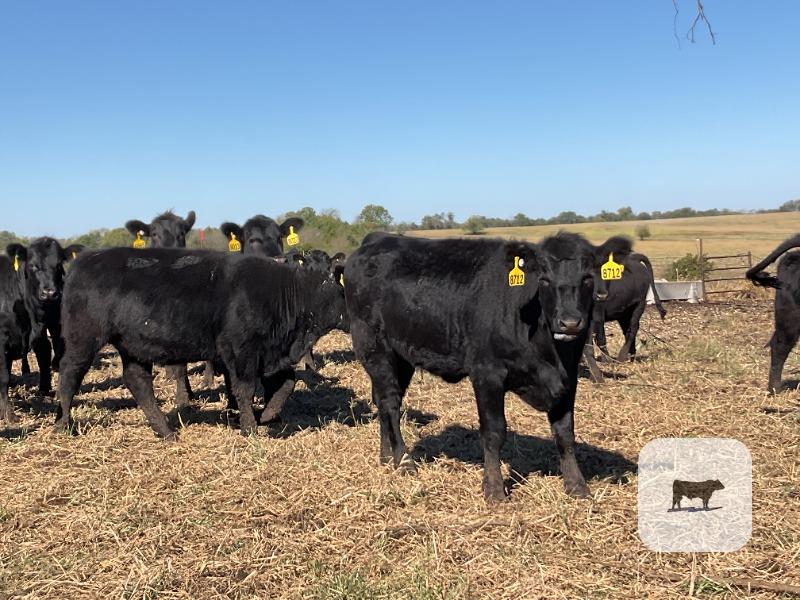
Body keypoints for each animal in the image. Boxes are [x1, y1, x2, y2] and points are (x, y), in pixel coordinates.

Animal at [55, 247, 348, 439]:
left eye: (333, 272)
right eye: (322, 275)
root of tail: (85, 260)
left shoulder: (270, 353)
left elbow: (287, 383)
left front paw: (266, 415)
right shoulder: (241, 349)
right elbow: (244, 389)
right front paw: (250, 428)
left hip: (132, 346)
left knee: (138, 382)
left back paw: (166, 431)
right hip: (83, 339)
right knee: (69, 374)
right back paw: (63, 424)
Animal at [345, 231, 632, 502]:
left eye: (587, 278)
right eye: (543, 279)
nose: (569, 322)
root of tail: (377, 239)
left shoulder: (568, 378)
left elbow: (565, 433)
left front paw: (577, 486)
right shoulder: (487, 374)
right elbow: (494, 432)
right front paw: (493, 488)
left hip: (401, 358)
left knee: (385, 403)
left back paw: (387, 456)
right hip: (375, 349)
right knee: (391, 404)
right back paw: (403, 461)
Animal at [582, 252, 666, 381]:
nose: (601, 295)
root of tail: (634, 258)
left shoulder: (597, 316)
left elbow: (600, 339)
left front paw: (606, 360)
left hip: (639, 304)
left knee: (633, 329)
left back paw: (622, 356)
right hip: (624, 313)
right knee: (628, 330)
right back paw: (631, 355)